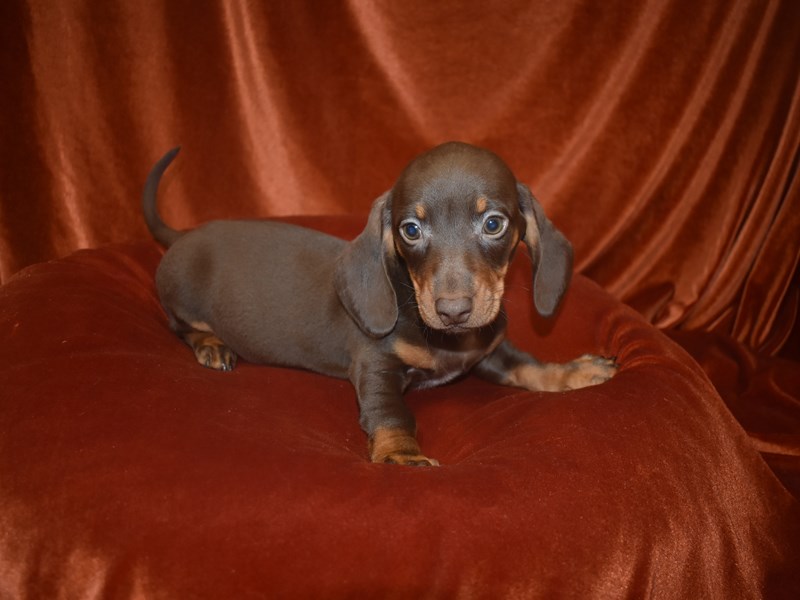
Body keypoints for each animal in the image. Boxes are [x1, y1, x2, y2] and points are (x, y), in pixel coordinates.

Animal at [142, 143, 620, 466]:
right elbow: (392, 414)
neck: (444, 340)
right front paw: (401, 456)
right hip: (180, 298)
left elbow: (530, 367)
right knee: (177, 326)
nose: (453, 311)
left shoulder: (490, 351)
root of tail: (182, 236)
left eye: (493, 224)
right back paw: (211, 345)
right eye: (410, 229)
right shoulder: (375, 364)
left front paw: (576, 371)